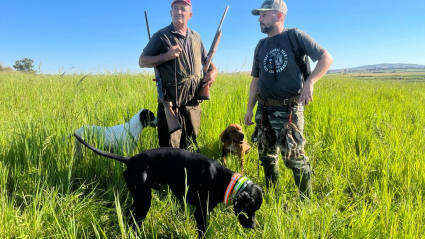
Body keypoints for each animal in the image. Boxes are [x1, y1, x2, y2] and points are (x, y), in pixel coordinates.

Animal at [74, 134, 264, 238]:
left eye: (255, 210)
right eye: (249, 209)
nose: (254, 227)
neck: (225, 179)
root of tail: (131, 160)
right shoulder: (200, 212)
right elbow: (203, 231)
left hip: (139, 198)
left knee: (128, 216)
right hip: (143, 201)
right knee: (134, 221)